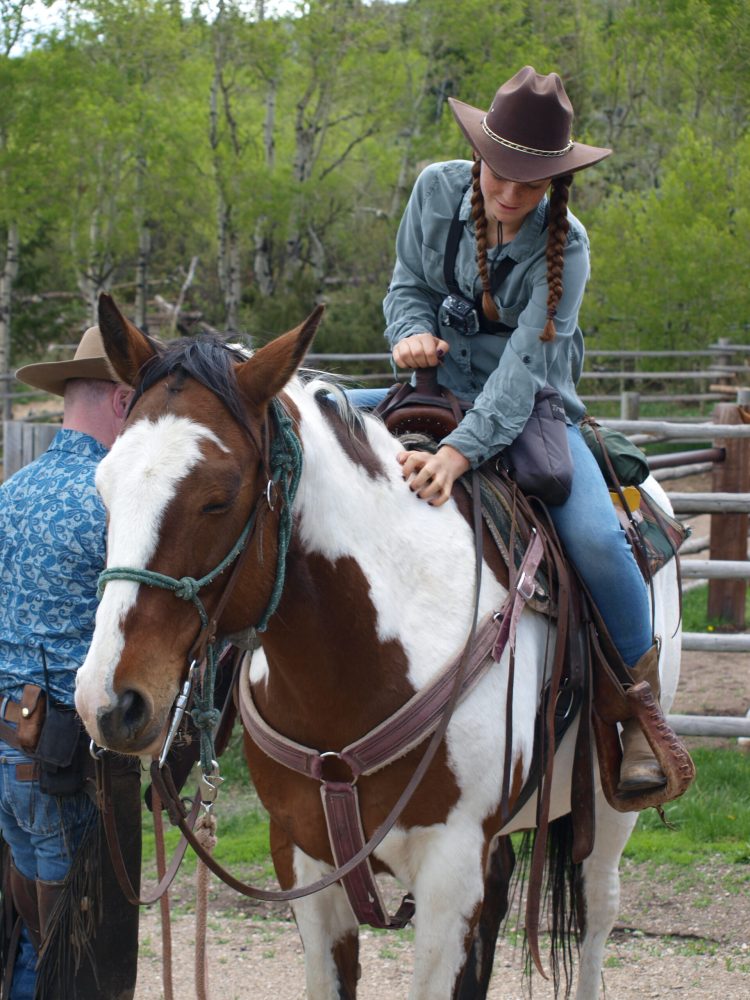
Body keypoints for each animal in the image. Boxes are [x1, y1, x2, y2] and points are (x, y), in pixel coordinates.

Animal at [76, 296, 688, 1000]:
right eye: (103, 486)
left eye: (218, 497)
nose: (108, 702)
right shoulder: (304, 860)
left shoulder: (451, 870)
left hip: (608, 815)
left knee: (595, 915)